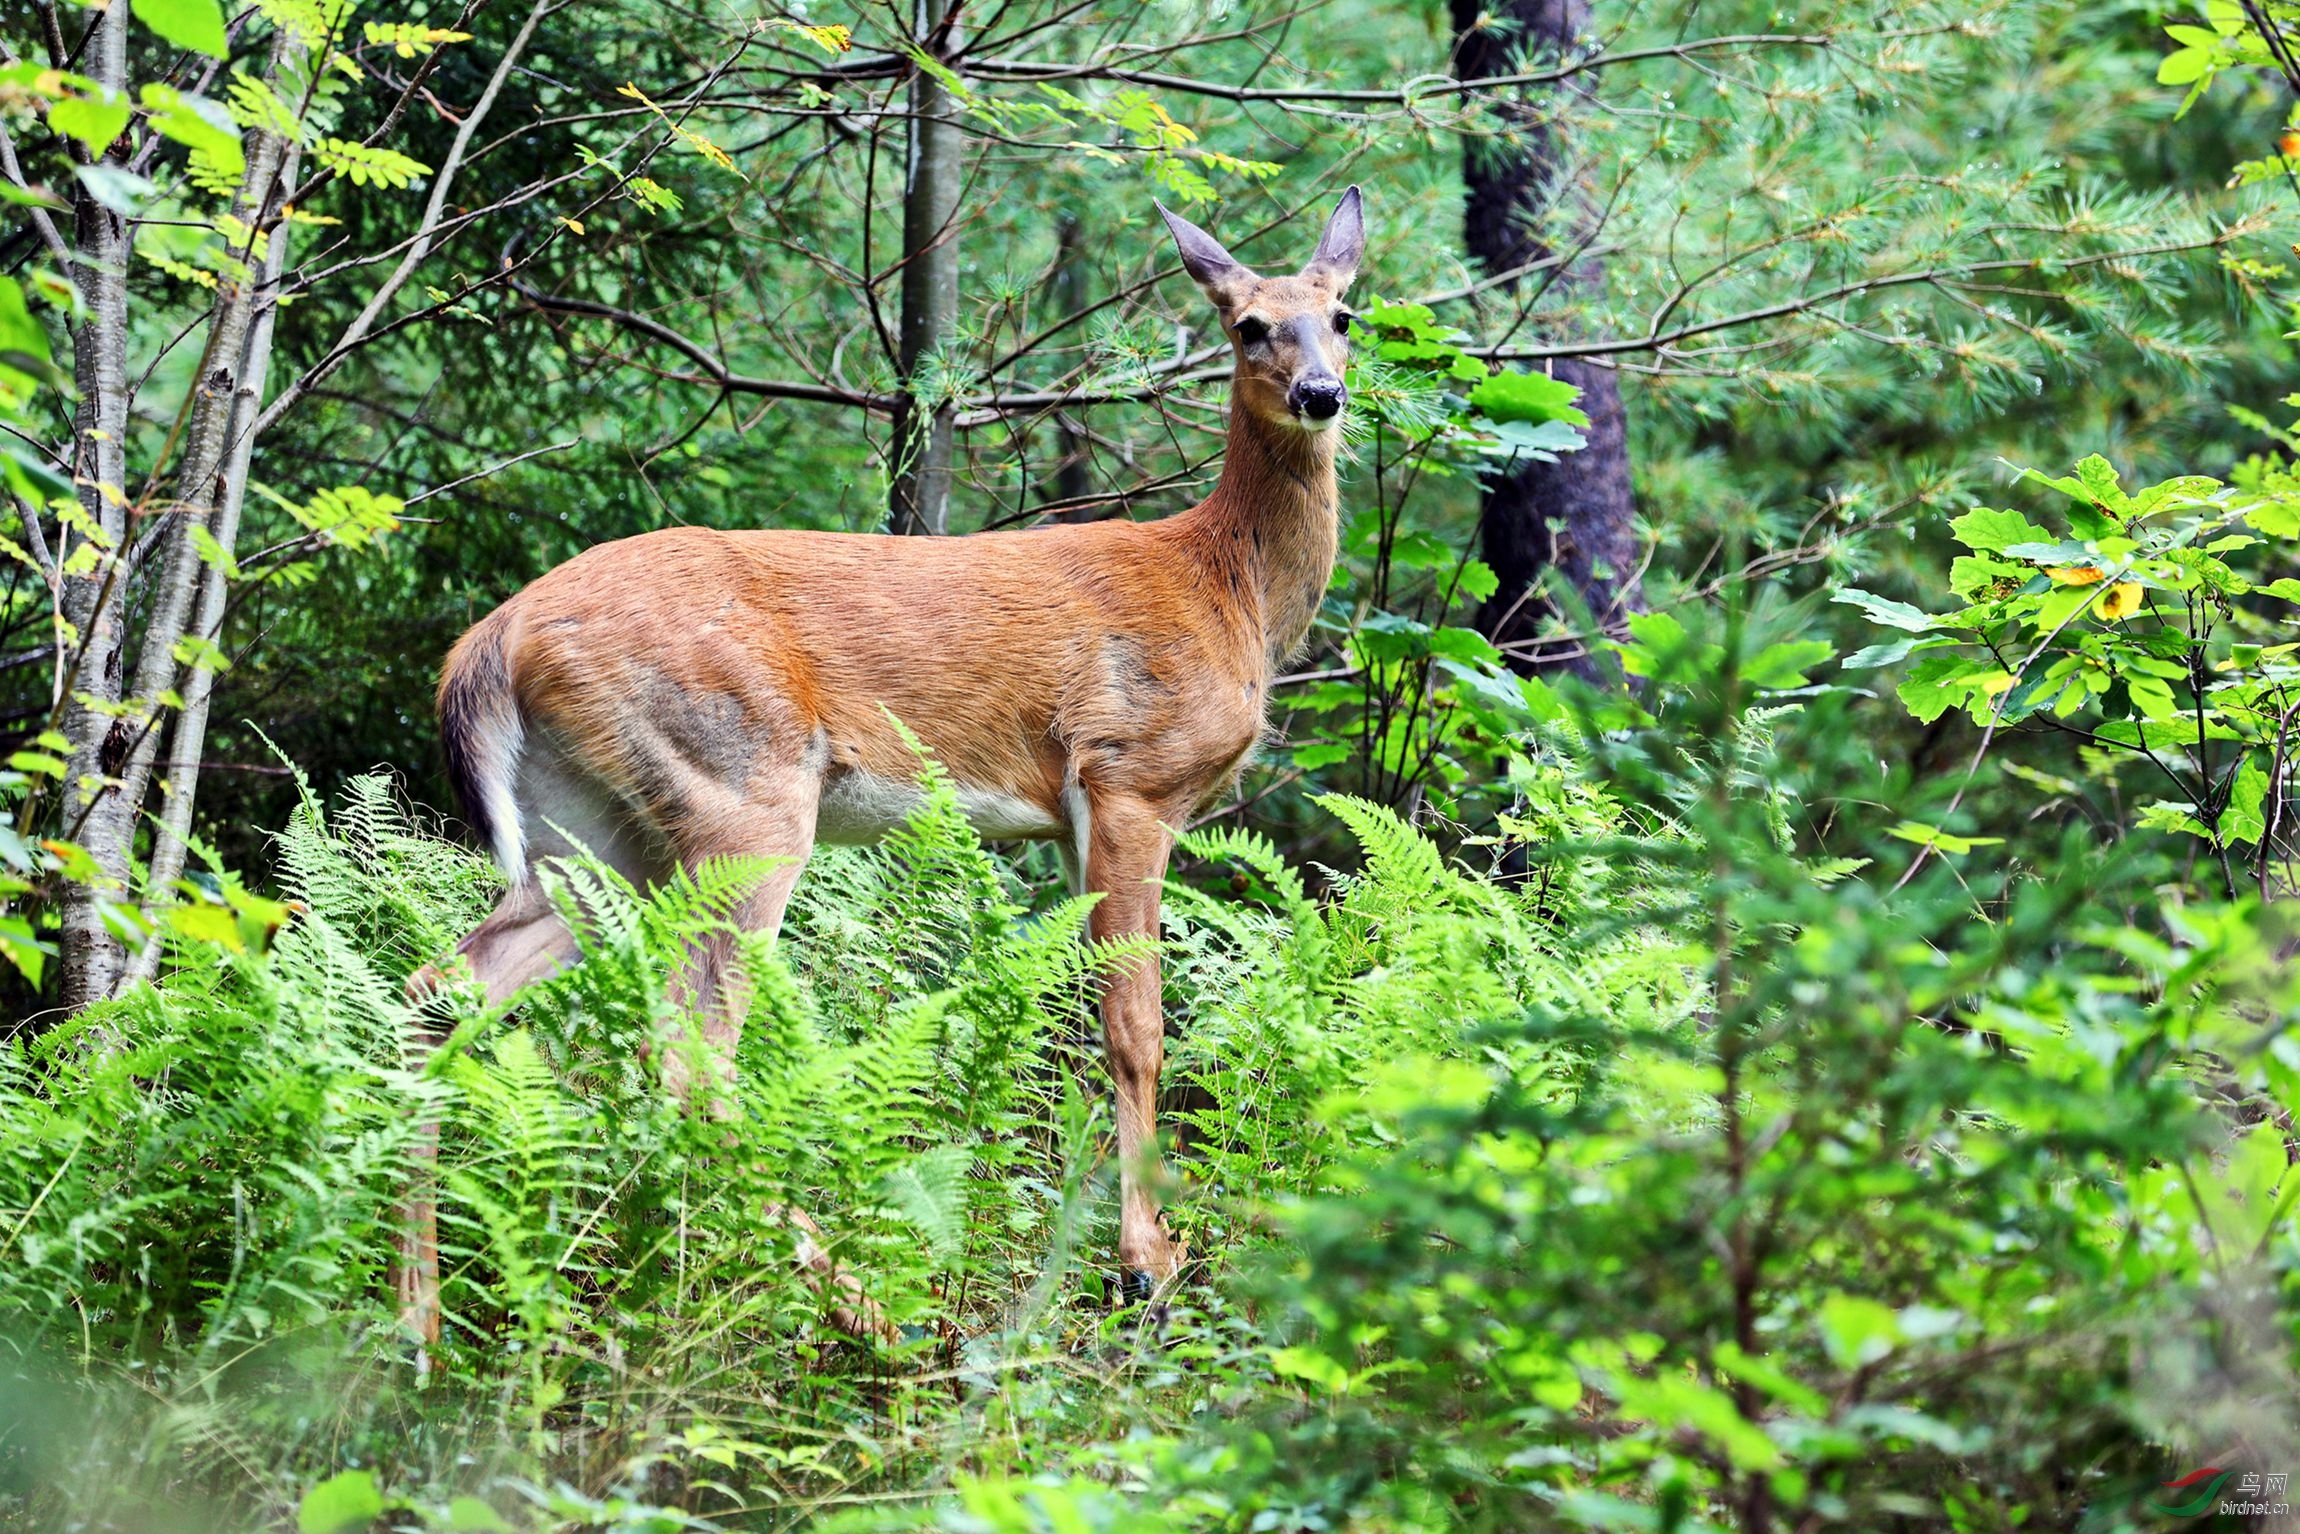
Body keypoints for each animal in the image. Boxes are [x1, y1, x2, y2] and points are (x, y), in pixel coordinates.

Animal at [400, 186, 1361, 1352]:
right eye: (1249, 326)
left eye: (1342, 316)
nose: (1319, 393)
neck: (1228, 584)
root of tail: (488, 644)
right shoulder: (1130, 776)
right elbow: (1136, 1028)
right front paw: (1148, 1266)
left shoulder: (1072, 820)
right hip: (743, 795)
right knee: (692, 1056)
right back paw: (867, 1308)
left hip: (589, 832)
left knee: (444, 990)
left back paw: (419, 1324)